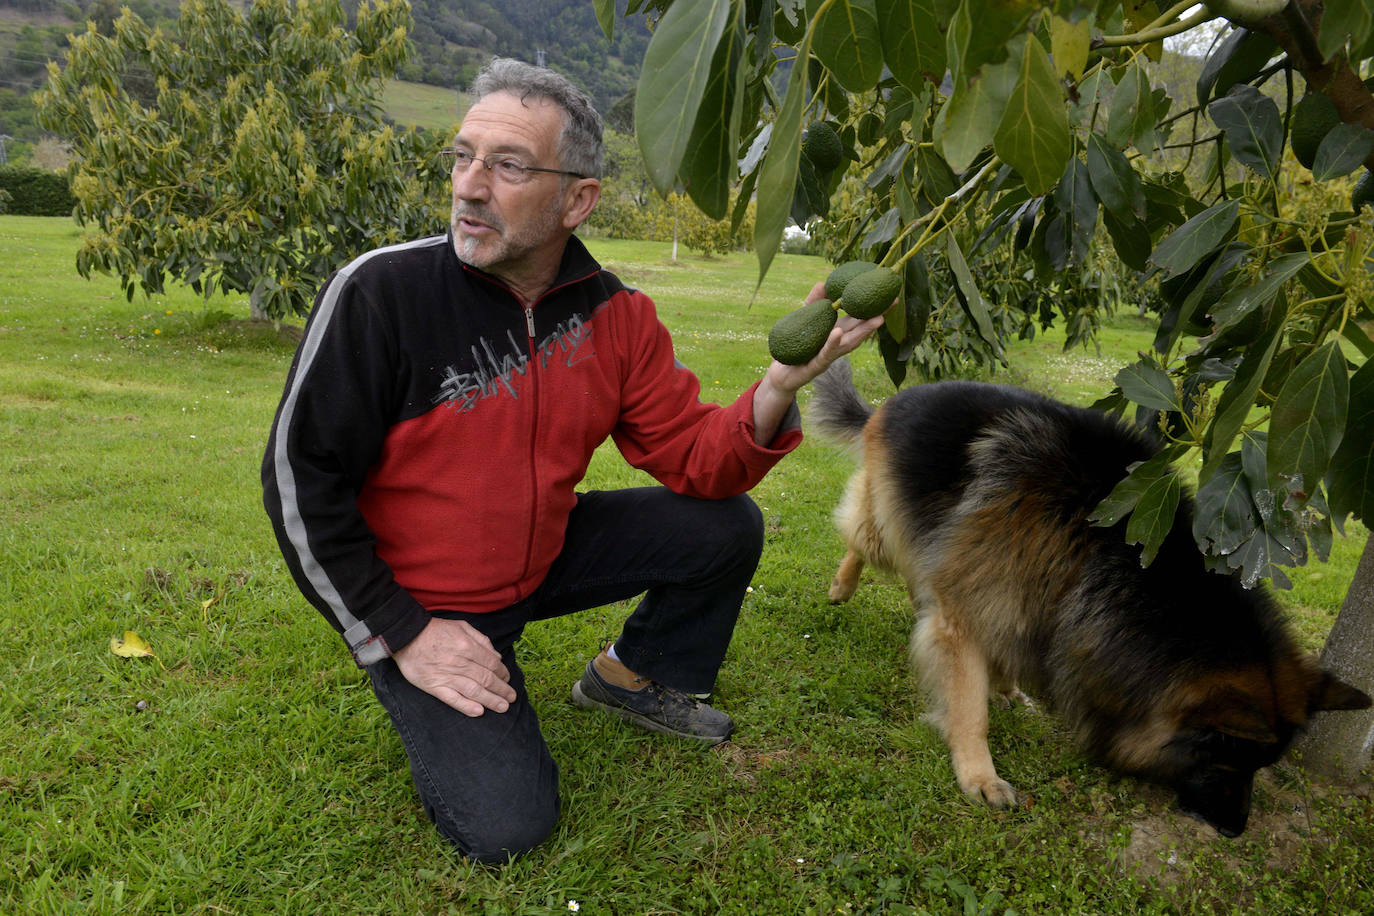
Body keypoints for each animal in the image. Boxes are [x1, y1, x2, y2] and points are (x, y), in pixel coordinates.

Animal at [807, 359, 1368, 840]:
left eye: (1258, 768)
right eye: (1224, 760)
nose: (1235, 830)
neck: (1104, 546)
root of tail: (895, 400)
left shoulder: (1026, 597)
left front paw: (1006, 687)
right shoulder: (970, 609)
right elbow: (969, 708)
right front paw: (979, 775)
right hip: (888, 528)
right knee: (861, 537)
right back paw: (842, 585)